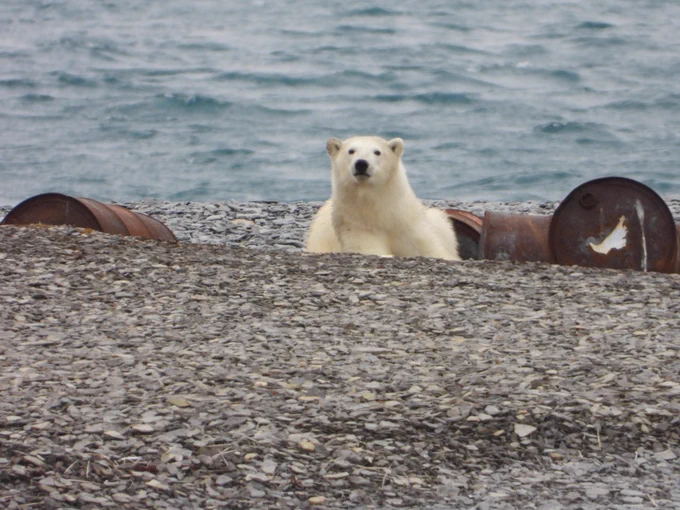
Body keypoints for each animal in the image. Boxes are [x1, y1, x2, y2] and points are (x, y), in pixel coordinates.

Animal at [305, 136, 461, 261]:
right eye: (351, 151)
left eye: (377, 152)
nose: (361, 163)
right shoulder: (355, 223)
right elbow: (369, 247)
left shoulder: (407, 221)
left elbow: (427, 247)